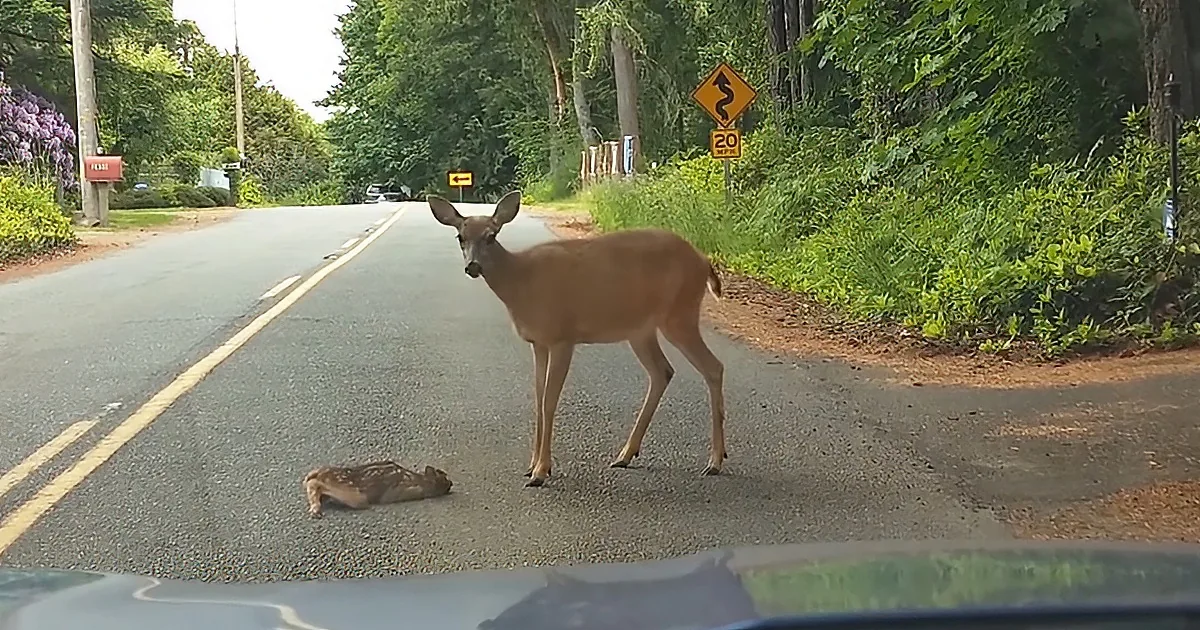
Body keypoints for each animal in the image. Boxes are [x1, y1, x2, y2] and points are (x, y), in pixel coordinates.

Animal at [427, 191, 727, 488]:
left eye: (491, 235)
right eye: (460, 237)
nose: (473, 266)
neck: (520, 281)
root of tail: (703, 260)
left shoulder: (562, 336)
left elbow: (549, 402)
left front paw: (541, 471)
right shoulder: (538, 342)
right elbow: (538, 400)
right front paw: (531, 466)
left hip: (679, 313)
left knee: (713, 367)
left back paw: (715, 461)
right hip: (641, 329)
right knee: (662, 372)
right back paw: (626, 455)